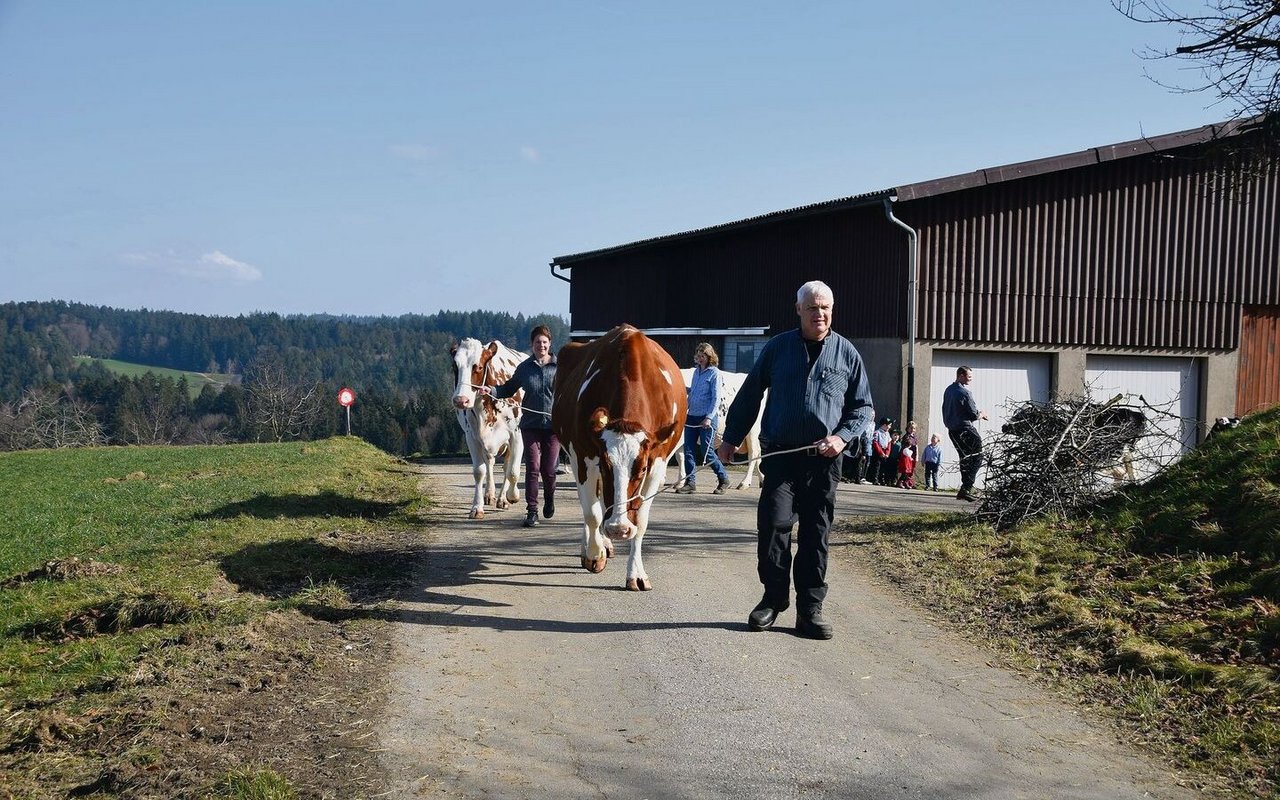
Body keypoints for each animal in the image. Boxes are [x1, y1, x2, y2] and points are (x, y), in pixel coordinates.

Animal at [453, 337, 527, 517]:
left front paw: (512, 496)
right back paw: (490, 494)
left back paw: (502, 499)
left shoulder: (517, 434)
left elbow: (513, 471)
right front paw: (477, 507)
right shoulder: (471, 436)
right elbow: (479, 471)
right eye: (454, 366)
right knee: (490, 463)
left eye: (479, 367)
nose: (460, 400)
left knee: (507, 466)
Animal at [552, 321, 691, 588]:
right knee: (590, 505)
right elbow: (592, 514)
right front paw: (594, 555)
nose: (618, 529)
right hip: (574, 459)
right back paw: (594, 545)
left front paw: (636, 574)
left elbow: (641, 520)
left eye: (642, 469)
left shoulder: (657, 463)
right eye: (606, 466)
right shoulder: (585, 458)